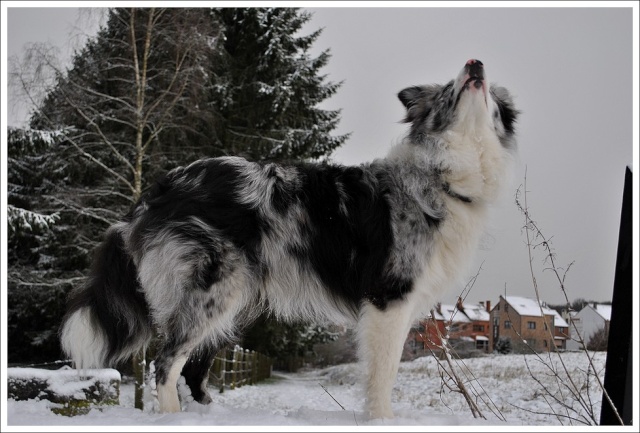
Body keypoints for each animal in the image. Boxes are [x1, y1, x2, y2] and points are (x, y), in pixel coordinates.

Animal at [60, 59, 516, 416]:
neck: (441, 176)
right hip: (212, 289)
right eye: (450, 91)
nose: (474, 64)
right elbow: (382, 374)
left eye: (489, 93)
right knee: (166, 361)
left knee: (192, 366)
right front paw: (381, 419)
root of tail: (158, 190)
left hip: (231, 297)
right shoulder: (389, 298)